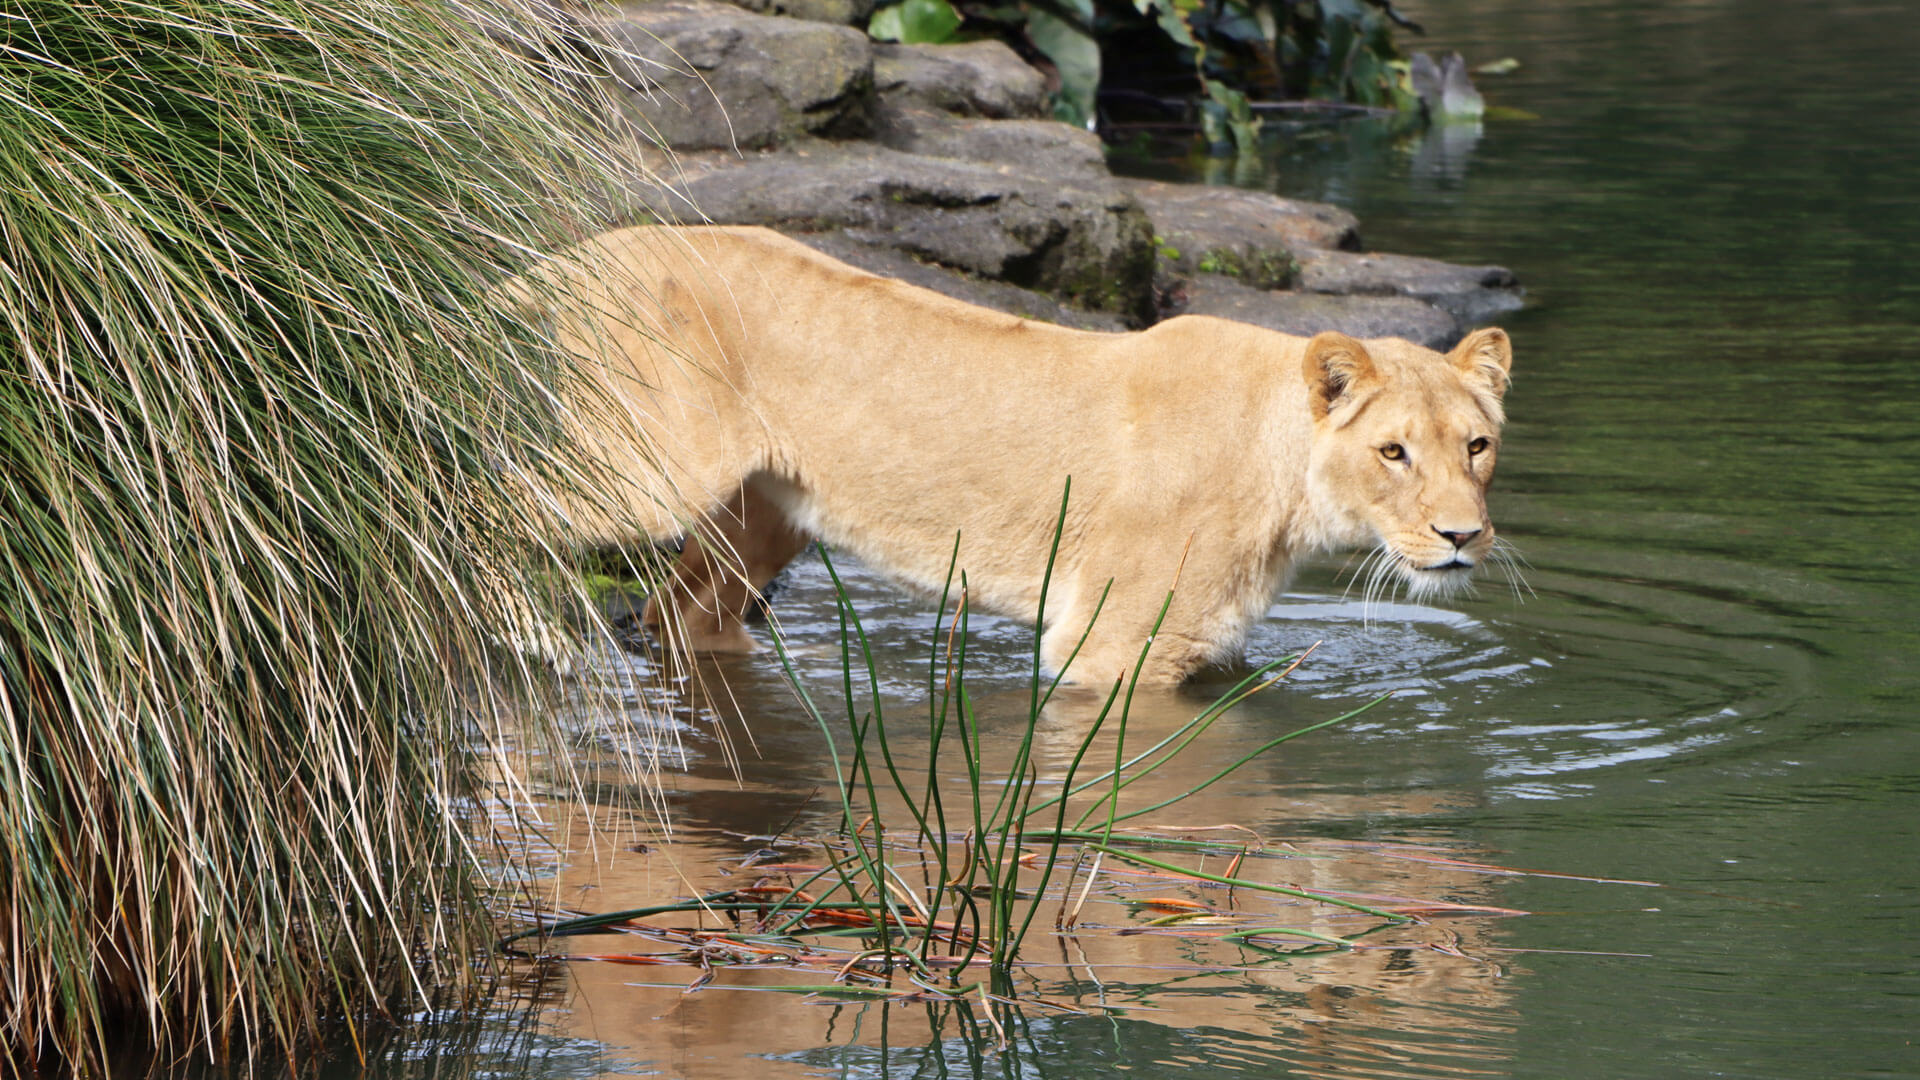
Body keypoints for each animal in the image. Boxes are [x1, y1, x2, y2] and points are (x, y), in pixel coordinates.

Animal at [513, 225, 1514, 685]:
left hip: (763, 511)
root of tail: (569, 258)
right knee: (503, 497)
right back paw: (531, 638)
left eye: (1477, 445)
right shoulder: (1109, 653)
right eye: (1392, 452)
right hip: (642, 475)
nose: (1464, 537)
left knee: (681, 613)